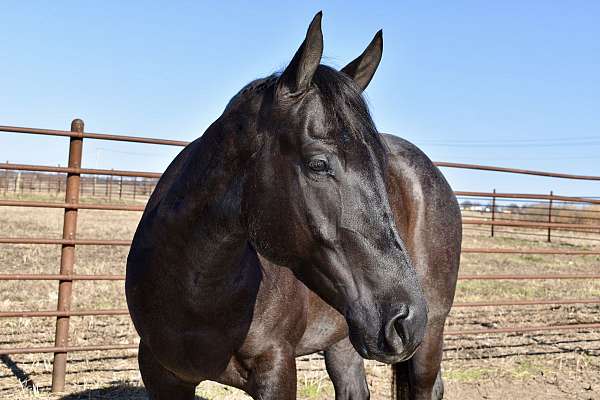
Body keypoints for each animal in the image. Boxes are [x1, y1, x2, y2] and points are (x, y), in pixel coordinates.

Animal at [126, 11, 462, 400]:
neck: (198, 294)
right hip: (345, 336)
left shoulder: (276, 369)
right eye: (318, 164)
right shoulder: (162, 375)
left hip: (430, 337)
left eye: (381, 164)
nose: (406, 320)